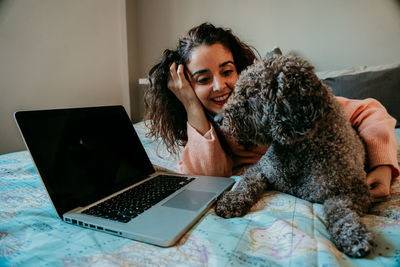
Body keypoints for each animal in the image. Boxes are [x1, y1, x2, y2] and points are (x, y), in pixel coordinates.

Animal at [214, 54, 374, 258]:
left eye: (252, 94)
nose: (217, 120)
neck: (298, 151)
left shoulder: (354, 191)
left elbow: (340, 209)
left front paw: (352, 234)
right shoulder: (259, 170)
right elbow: (245, 184)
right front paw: (231, 200)